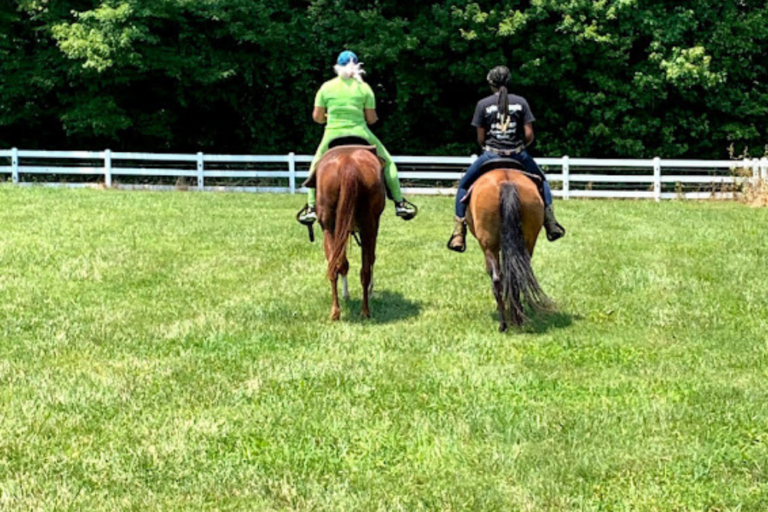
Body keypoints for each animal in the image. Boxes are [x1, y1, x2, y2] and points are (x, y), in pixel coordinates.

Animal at [314, 142, 385, 321]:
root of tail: (348, 164)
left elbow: (342, 263)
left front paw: (346, 294)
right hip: (366, 228)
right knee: (364, 270)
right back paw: (364, 311)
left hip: (331, 229)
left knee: (334, 267)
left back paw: (335, 312)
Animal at [466, 166, 553, 331]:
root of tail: (506, 182)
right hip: (527, 242)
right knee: (516, 275)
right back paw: (517, 318)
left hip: (489, 246)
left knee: (496, 279)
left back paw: (503, 323)